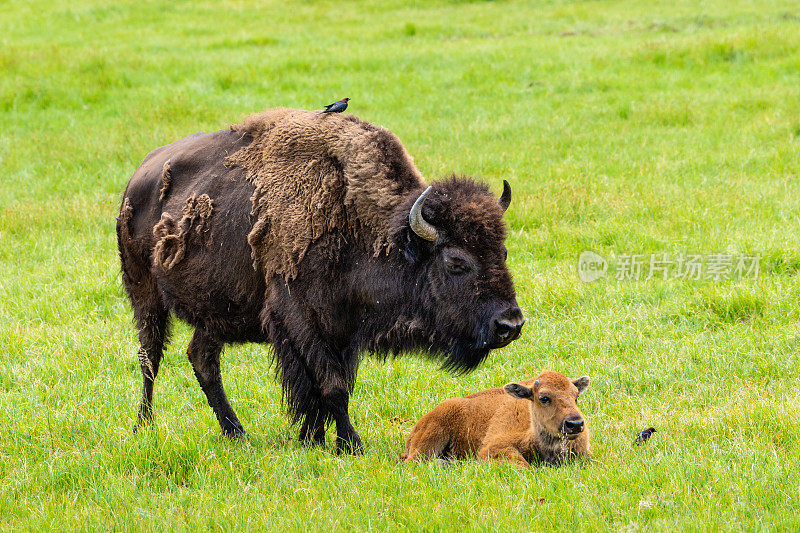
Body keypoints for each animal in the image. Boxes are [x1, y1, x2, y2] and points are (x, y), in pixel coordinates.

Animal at [115, 109, 520, 454]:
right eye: (456, 262)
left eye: (502, 251)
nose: (511, 324)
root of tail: (136, 179)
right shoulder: (302, 320)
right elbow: (330, 386)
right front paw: (349, 444)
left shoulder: (341, 330)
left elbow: (325, 387)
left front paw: (313, 438)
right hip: (144, 293)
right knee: (150, 356)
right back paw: (144, 425)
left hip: (215, 312)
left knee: (201, 358)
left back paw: (237, 434)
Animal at [404, 370, 592, 466]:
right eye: (544, 398)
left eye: (576, 396)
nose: (575, 424)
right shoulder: (494, 447)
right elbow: (523, 465)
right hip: (429, 440)